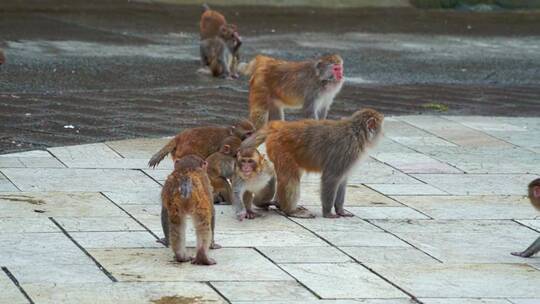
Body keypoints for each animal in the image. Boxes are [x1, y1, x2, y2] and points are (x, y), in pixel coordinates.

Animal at [240, 108, 384, 218]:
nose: (382, 134)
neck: (358, 133)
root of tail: (280, 126)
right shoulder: (347, 151)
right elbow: (331, 178)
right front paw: (328, 213)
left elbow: (342, 180)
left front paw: (340, 210)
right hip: (280, 148)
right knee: (290, 177)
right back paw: (289, 210)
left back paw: (266, 203)